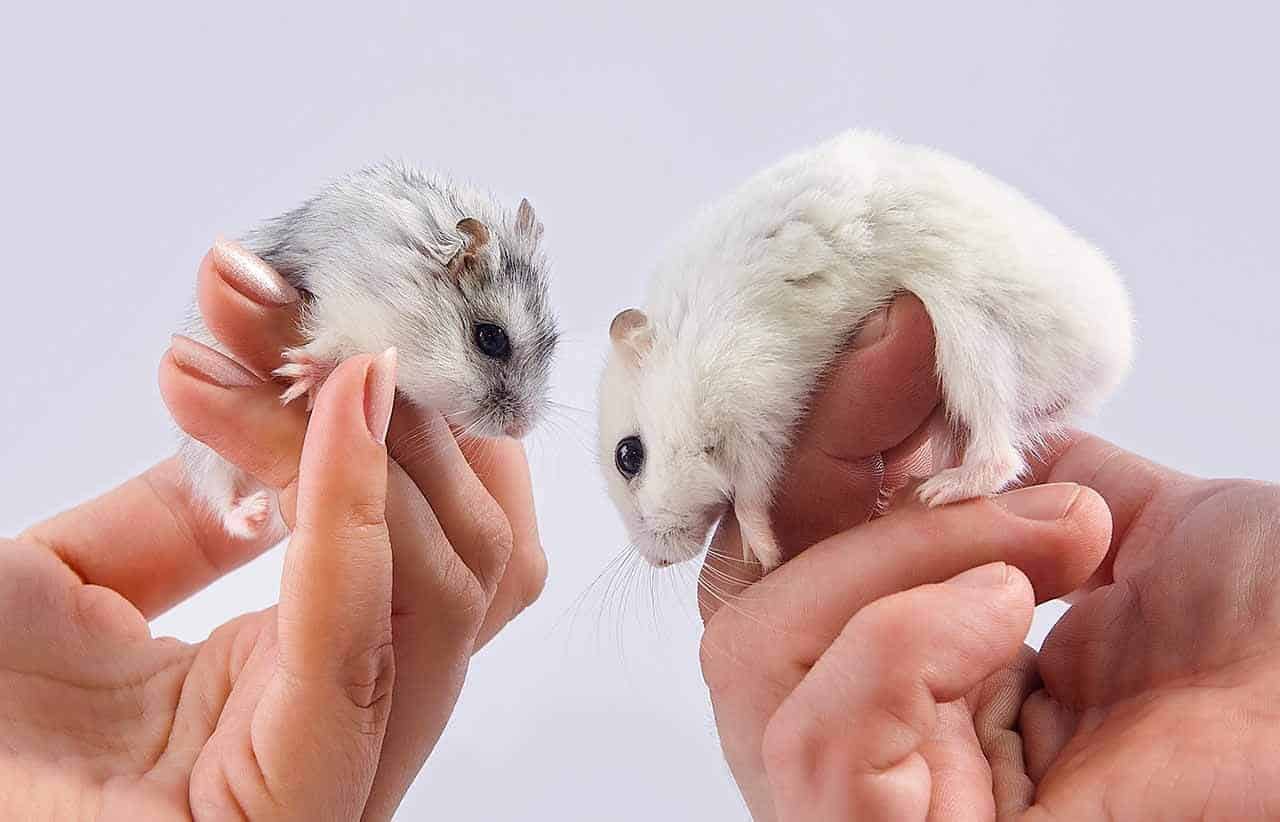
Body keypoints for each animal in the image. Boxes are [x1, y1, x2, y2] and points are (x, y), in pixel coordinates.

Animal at [182, 162, 558, 539]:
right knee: (220, 498)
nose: (520, 430)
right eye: (491, 338)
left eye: (552, 344)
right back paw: (253, 516)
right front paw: (302, 375)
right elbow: (336, 341)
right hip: (207, 455)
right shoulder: (345, 303)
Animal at [598, 130, 1132, 571]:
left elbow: (752, 491)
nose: (659, 561)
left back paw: (939, 492)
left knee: (999, 453)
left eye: (629, 455)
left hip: (973, 340)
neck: (685, 355)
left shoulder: (751, 400)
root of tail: (1112, 359)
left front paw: (764, 555)